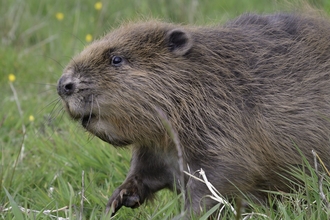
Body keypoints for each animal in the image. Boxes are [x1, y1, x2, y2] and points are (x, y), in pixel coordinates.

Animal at [58, 12, 330, 217]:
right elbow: (143, 172)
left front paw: (183, 214)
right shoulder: (155, 149)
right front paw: (117, 199)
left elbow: (222, 175)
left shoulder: (222, 126)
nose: (64, 85)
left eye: (116, 59)